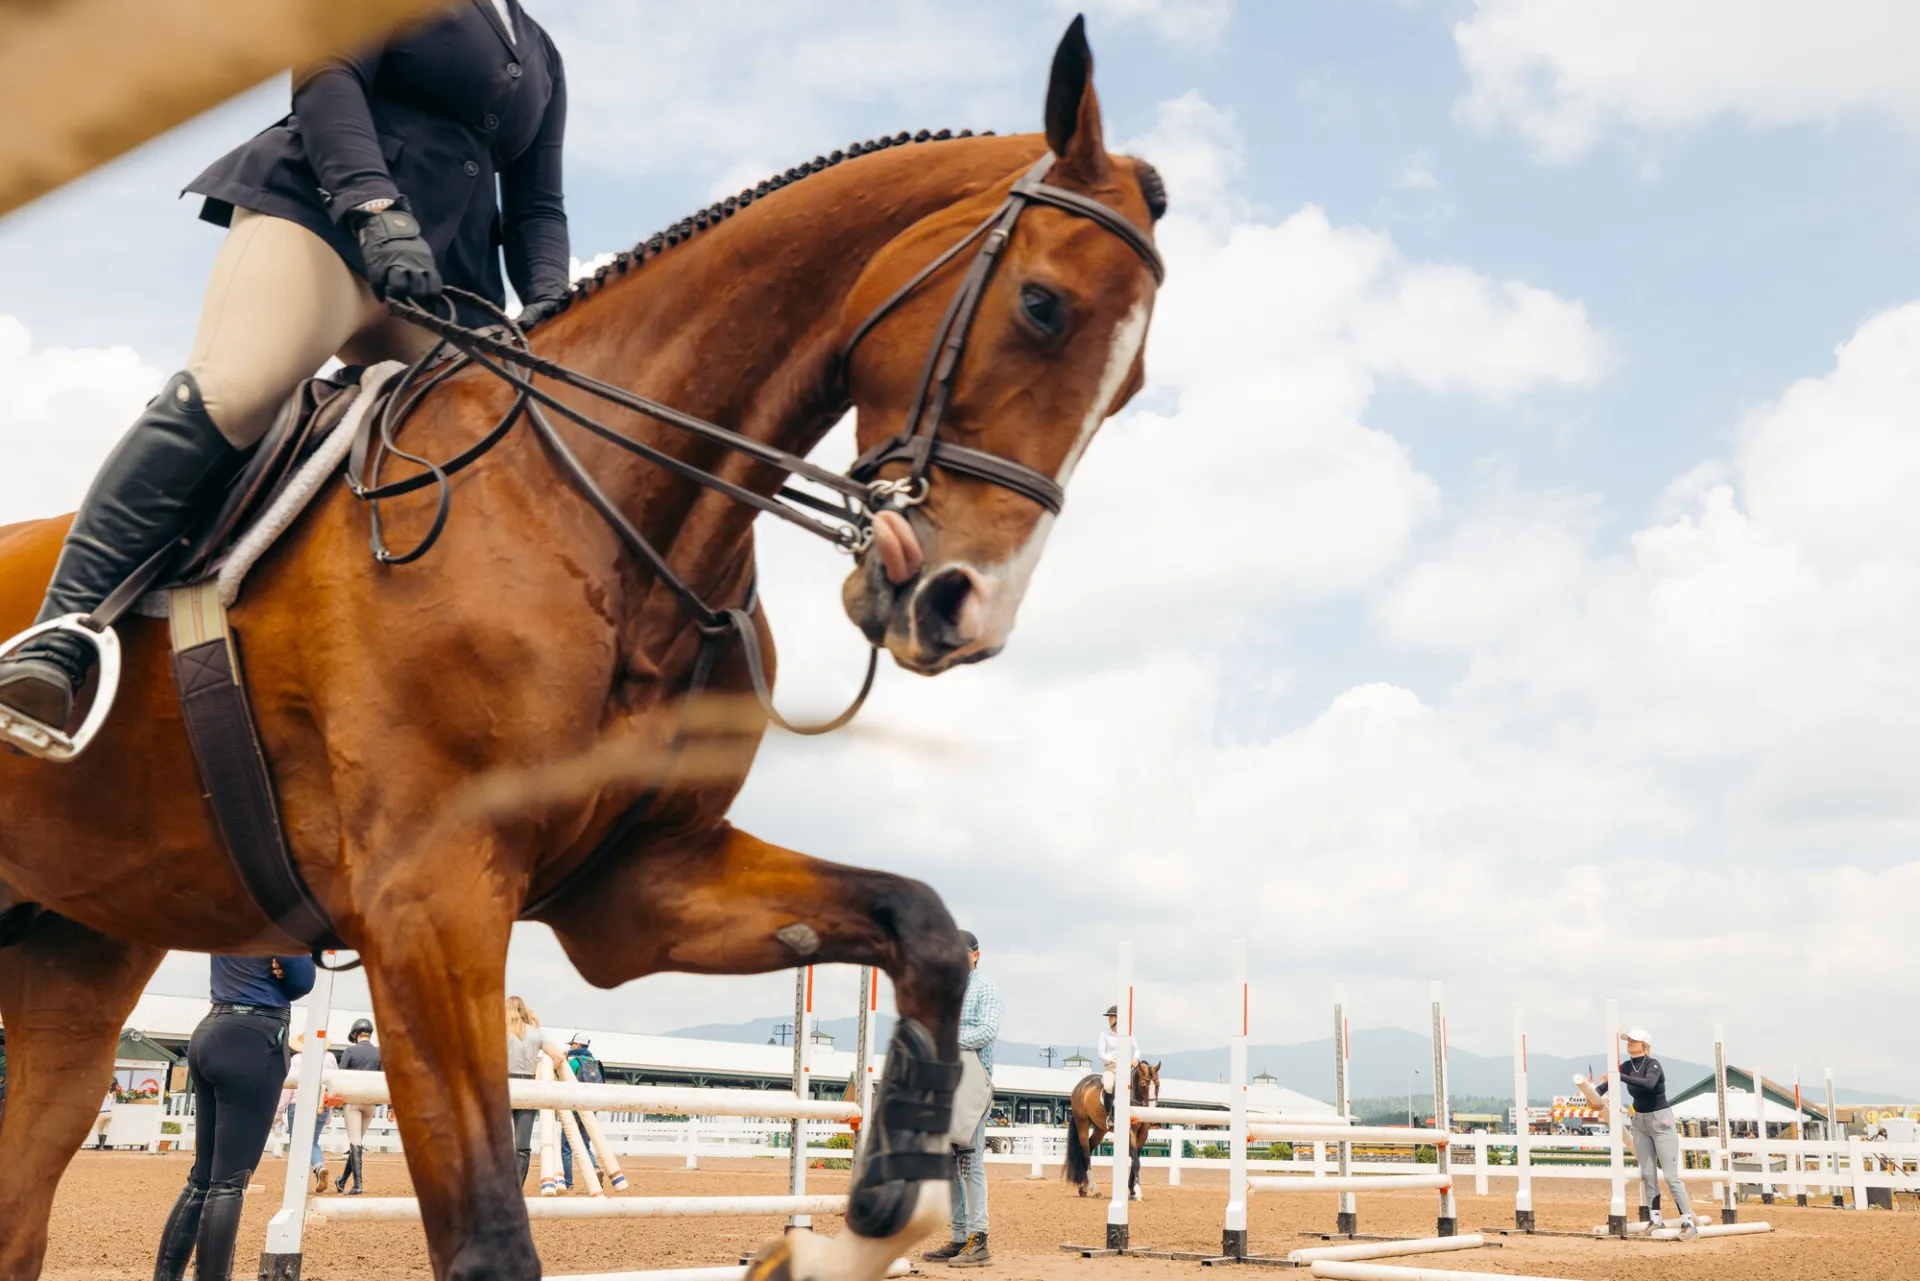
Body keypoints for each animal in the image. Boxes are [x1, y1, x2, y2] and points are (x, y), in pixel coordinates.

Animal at [1064, 1060, 1161, 1200]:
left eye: (1158, 1085)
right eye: (1143, 1084)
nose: (1152, 1115)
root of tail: (1080, 1085)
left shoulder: (1143, 1134)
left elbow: (1135, 1159)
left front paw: (1132, 1191)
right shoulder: (1130, 1132)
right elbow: (1135, 1161)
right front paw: (1137, 1192)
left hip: (1099, 1130)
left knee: (1089, 1147)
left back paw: (1084, 1188)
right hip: (1083, 1124)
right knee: (1086, 1152)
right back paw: (1095, 1190)